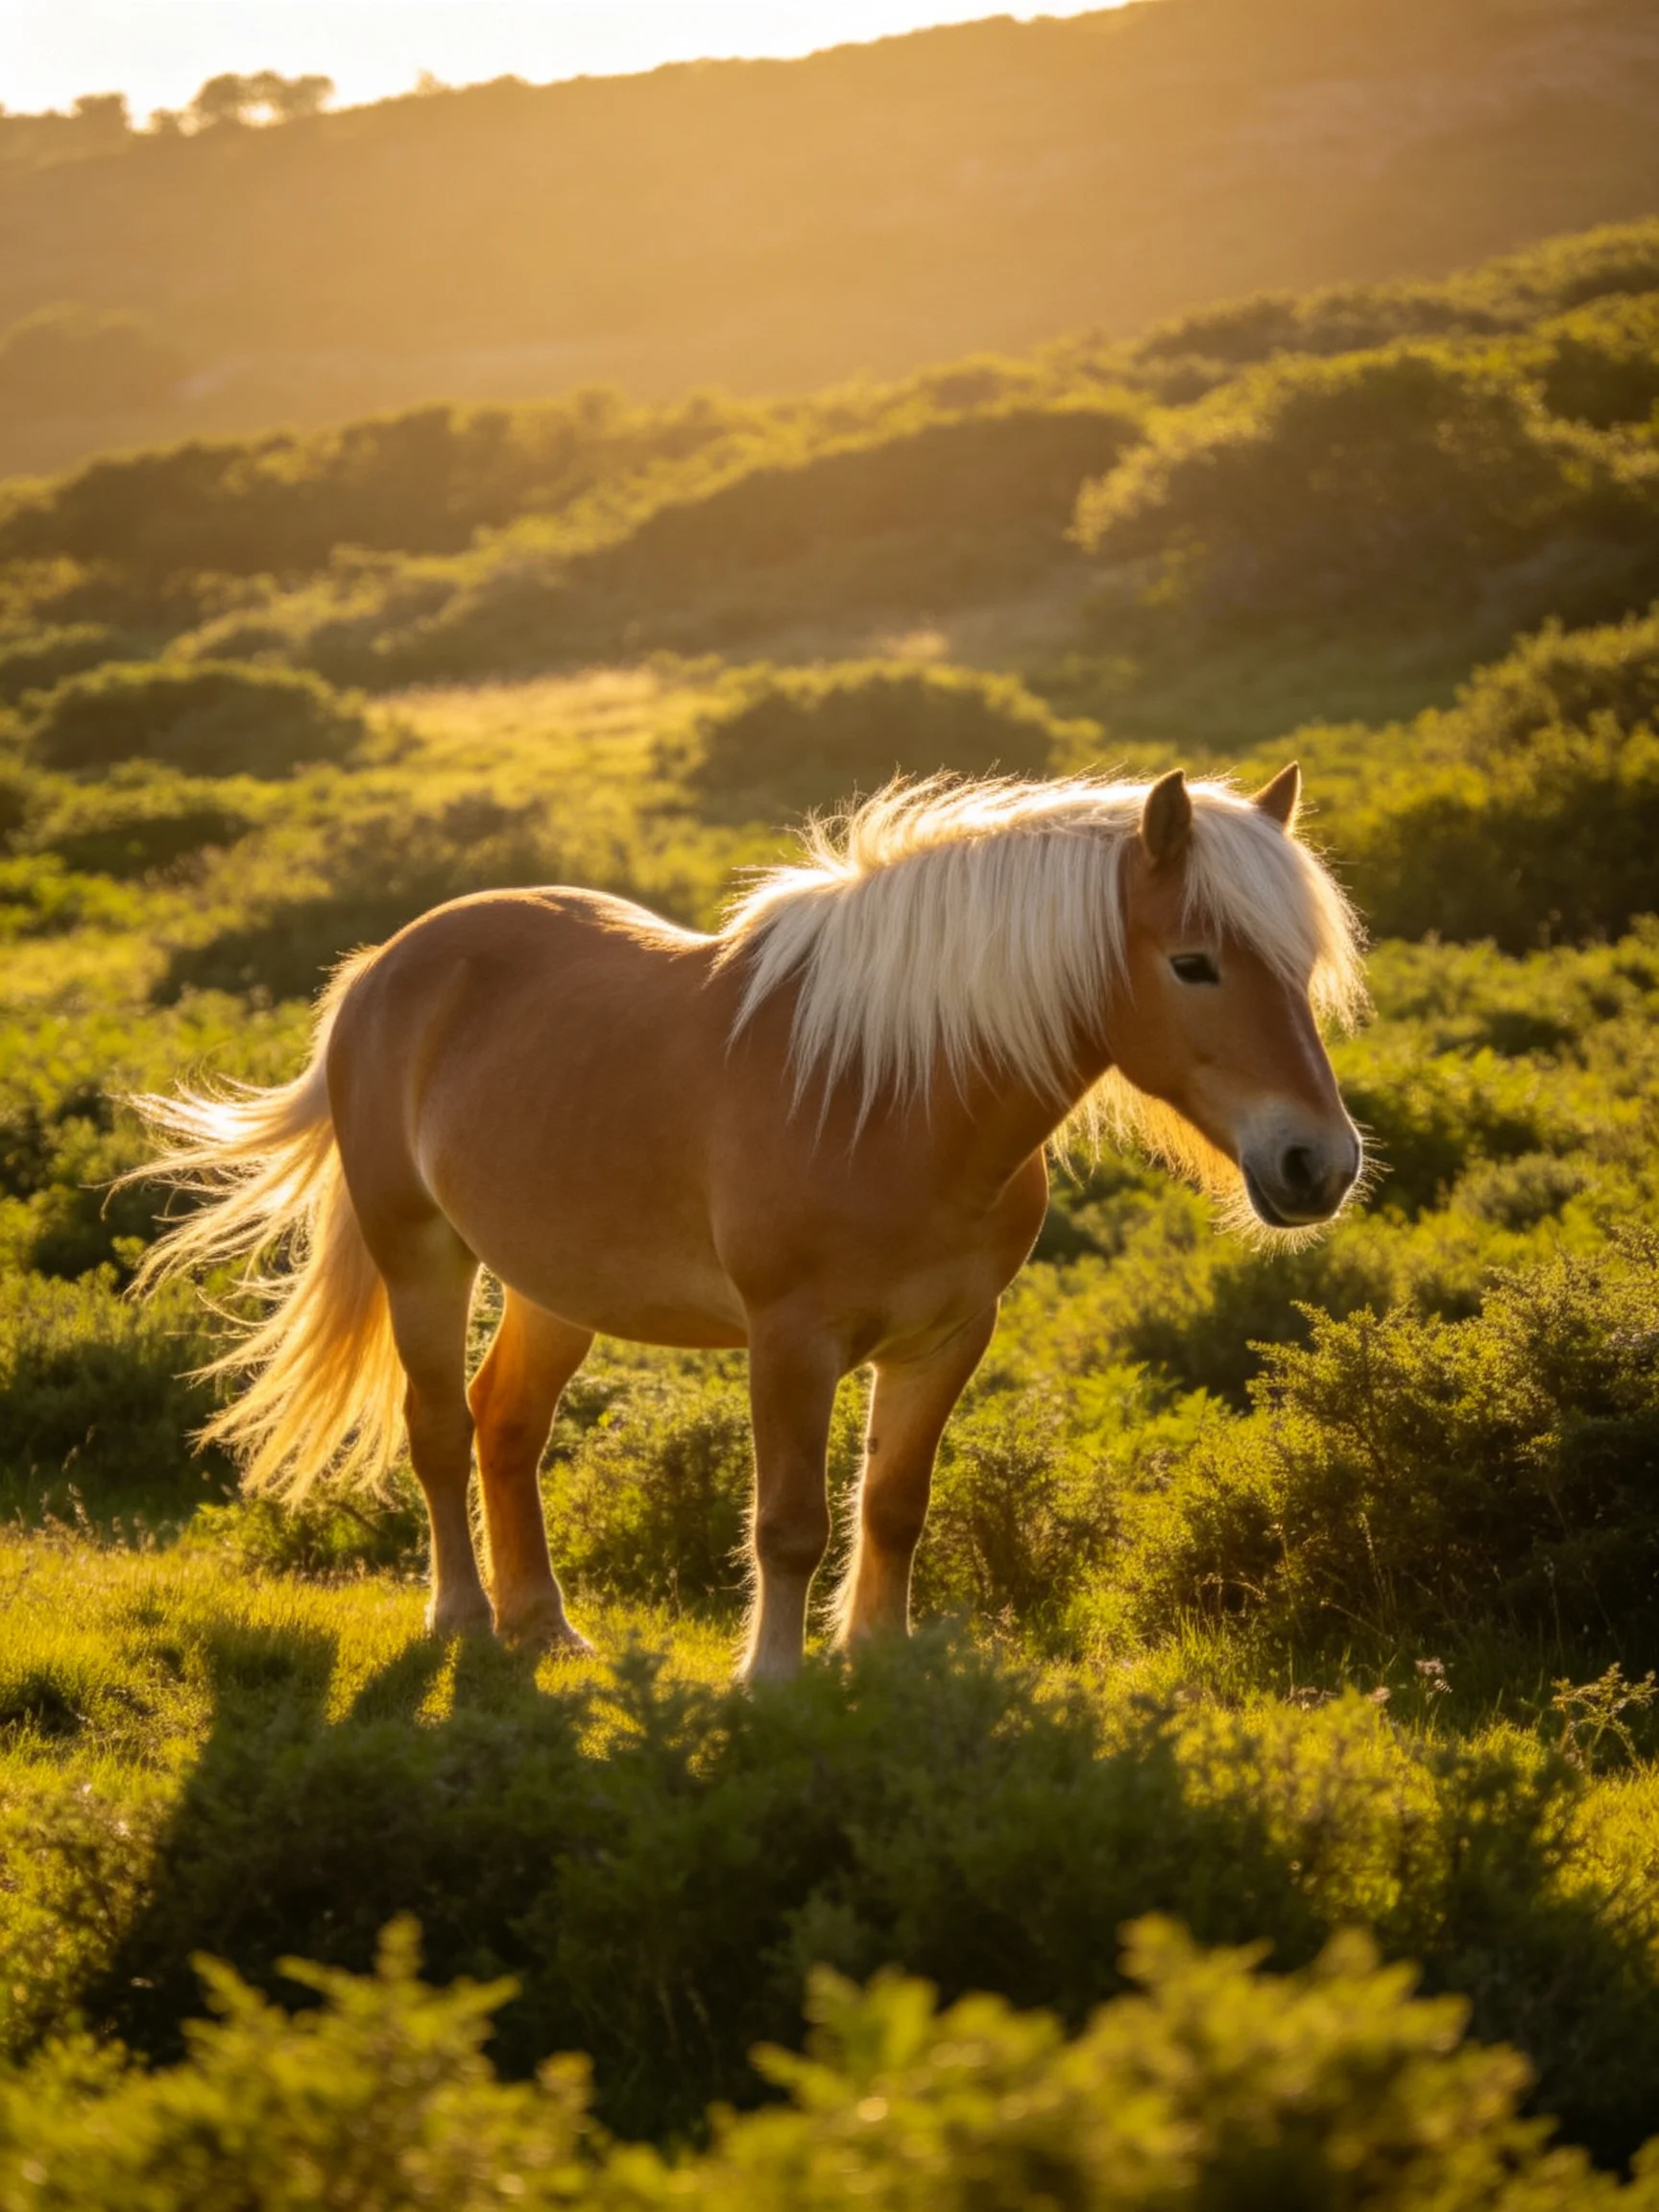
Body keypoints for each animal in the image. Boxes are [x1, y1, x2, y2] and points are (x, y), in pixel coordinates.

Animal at [131, 765, 1366, 1682]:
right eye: (1194, 963)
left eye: (1303, 965)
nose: (1319, 1164)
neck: (890, 1098)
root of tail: (387, 965)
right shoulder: (791, 1340)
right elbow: (791, 1522)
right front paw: (771, 1682)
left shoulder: (949, 1336)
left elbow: (895, 1504)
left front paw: (879, 1662)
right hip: (421, 1254)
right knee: (437, 1427)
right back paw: (467, 1620)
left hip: (553, 1284)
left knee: (506, 1425)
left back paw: (545, 1627)